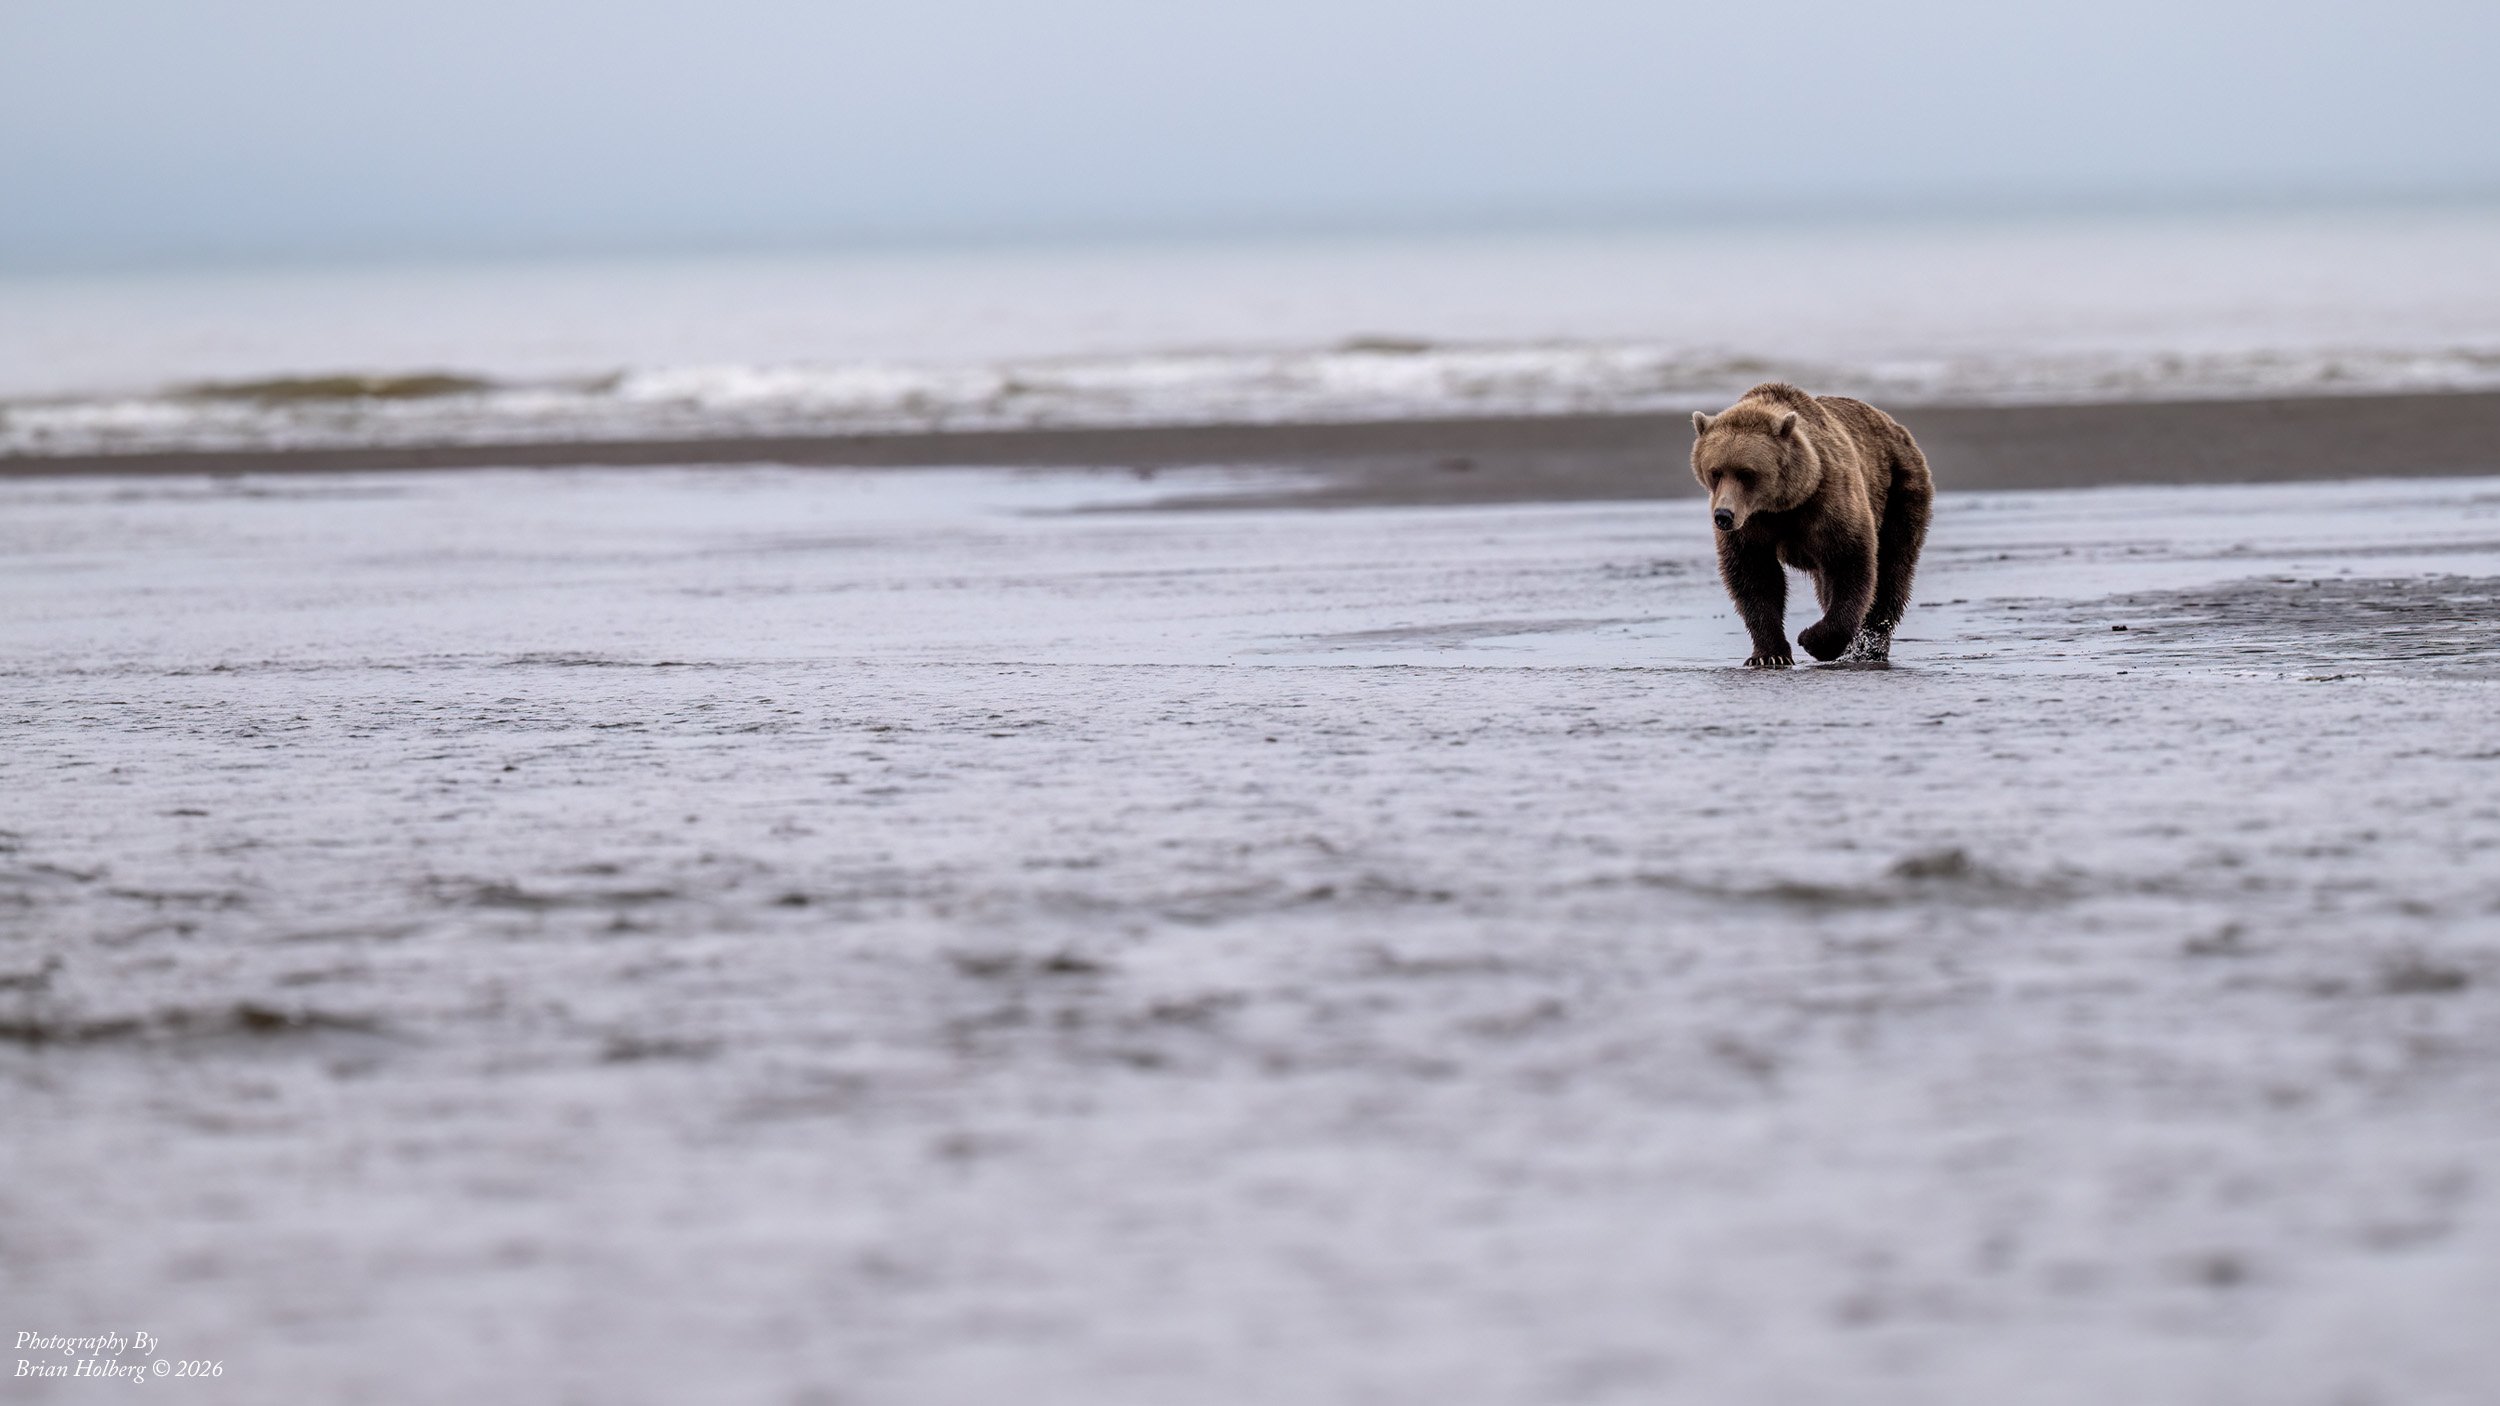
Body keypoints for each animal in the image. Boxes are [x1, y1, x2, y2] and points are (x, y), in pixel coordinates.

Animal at [1689, 383, 1933, 667]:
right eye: (1715, 472)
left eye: (1747, 473)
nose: (1723, 515)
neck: (1784, 503)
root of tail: (1894, 424)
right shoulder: (1752, 526)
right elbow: (1755, 577)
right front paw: (1769, 654)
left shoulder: (1828, 504)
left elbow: (1850, 564)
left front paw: (1814, 640)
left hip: (1900, 489)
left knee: (1893, 569)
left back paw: (1870, 648)